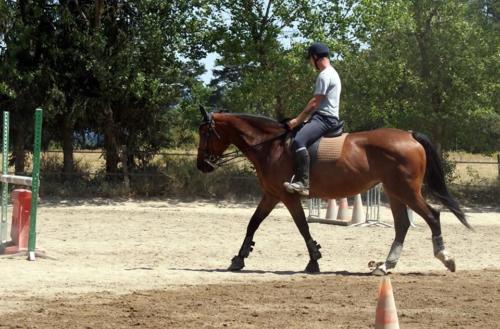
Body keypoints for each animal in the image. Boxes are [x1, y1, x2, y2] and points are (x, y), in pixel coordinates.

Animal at [196, 106, 472, 272]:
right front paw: (239, 258)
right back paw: (385, 265)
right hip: (395, 192)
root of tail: (409, 135)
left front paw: (313, 261)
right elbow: (253, 224)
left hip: (406, 191)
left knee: (432, 216)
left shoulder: (288, 195)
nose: (201, 165)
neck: (270, 146)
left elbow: (302, 226)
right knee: (402, 225)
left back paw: (445, 257)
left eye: (205, 132)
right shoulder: (272, 195)